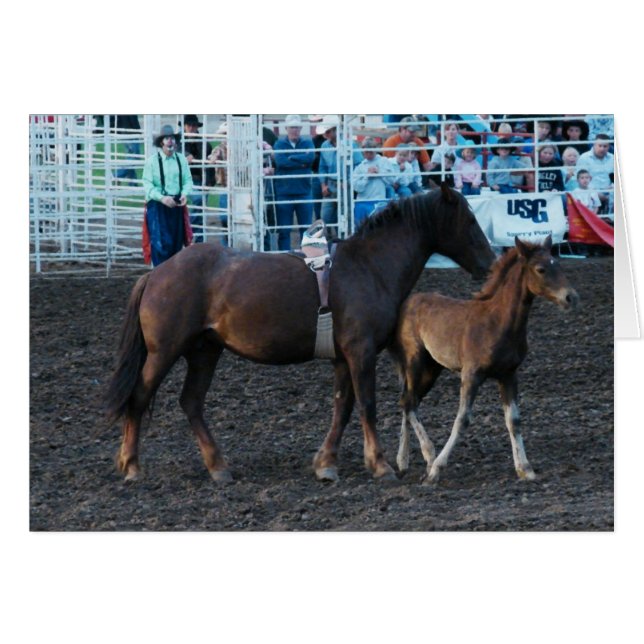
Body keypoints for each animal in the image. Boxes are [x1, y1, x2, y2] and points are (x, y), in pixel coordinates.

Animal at [104, 185, 495, 483]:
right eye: (470, 221)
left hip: (204, 351)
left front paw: (326, 464)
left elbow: (343, 407)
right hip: (165, 351)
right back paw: (132, 465)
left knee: (191, 403)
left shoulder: (343, 358)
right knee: (139, 396)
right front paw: (380, 464)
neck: (368, 267)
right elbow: (366, 405)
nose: (490, 265)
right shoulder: (361, 352)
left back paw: (218, 467)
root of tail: (156, 274)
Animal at [392, 235, 579, 484]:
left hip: (432, 368)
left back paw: (403, 461)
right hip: (415, 362)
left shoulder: (508, 375)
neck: (497, 322)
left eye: (557, 264)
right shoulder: (471, 375)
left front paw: (525, 469)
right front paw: (436, 470)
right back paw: (428, 457)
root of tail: (407, 302)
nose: (571, 297)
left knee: (408, 401)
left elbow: (513, 420)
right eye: (540, 269)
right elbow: (462, 420)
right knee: (409, 401)